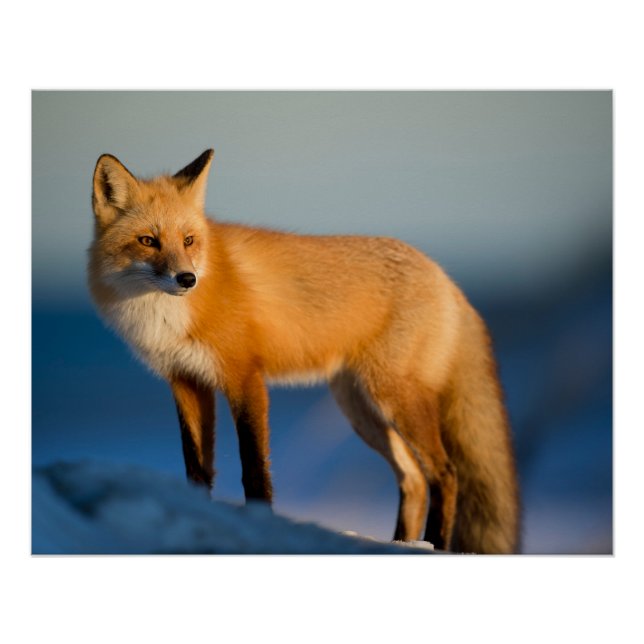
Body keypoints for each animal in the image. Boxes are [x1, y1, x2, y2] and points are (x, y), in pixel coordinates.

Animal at [88, 149, 520, 554]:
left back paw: (434, 544)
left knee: (445, 474)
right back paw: (401, 544)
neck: (166, 316)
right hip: (361, 409)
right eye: (148, 241)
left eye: (189, 240)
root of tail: (445, 278)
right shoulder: (186, 381)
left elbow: (254, 469)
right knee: (413, 479)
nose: (187, 279)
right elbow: (196, 469)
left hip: (395, 398)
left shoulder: (244, 377)